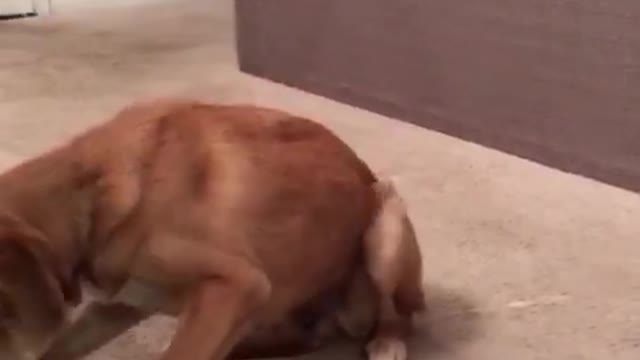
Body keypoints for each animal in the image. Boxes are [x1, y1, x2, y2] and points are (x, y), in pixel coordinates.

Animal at [0, 99, 424, 360]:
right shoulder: (115, 306)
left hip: (386, 228)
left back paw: (387, 341)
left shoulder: (236, 282)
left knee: (398, 314)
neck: (91, 196)